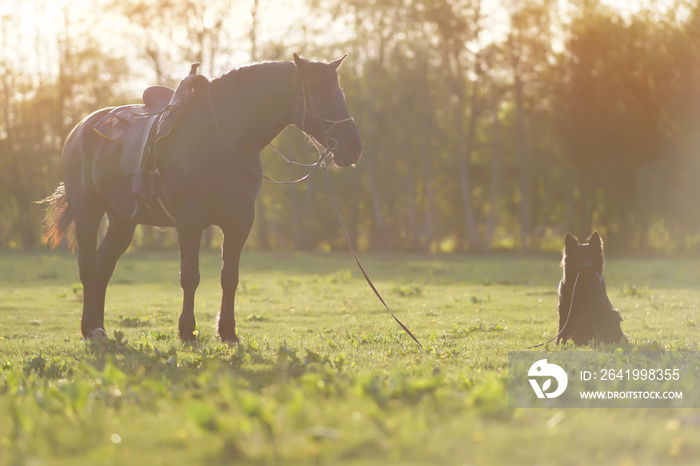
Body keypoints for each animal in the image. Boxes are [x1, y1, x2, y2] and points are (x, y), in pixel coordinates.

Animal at [39, 53, 360, 342]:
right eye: (320, 93)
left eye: (341, 92)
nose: (353, 147)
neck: (225, 139)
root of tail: (79, 129)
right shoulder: (190, 221)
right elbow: (190, 278)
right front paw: (187, 330)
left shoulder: (241, 220)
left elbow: (230, 277)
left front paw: (227, 331)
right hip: (88, 212)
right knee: (88, 268)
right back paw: (90, 328)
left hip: (122, 221)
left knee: (103, 267)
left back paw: (99, 327)